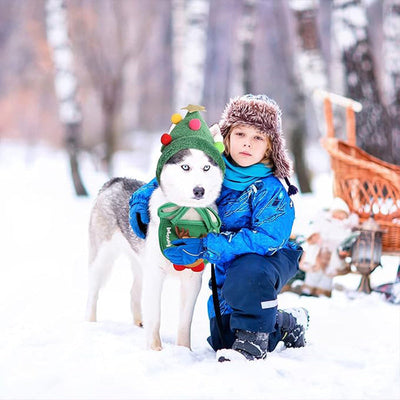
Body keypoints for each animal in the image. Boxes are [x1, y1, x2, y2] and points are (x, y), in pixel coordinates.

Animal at [85, 148, 223, 350]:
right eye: (185, 167)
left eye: (206, 167)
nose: (199, 190)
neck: (185, 217)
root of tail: (116, 180)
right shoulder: (156, 275)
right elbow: (156, 316)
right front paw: (155, 349)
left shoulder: (192, 279)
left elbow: (184, 322)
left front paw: (185, 350)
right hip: (102, 260)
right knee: (93, 293)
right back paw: (90, 324)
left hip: (141, 266)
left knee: (134, 293)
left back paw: (139, 323)